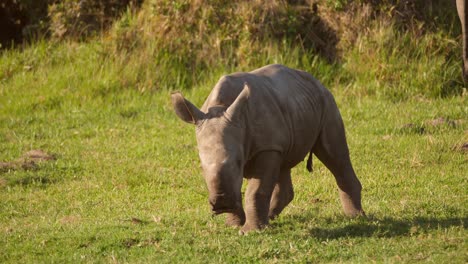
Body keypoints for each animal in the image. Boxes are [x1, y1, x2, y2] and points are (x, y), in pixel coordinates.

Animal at [173, 65, 366, 234]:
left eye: (239, 162)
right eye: (201, 166)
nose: (221, 203)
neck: (221, 106)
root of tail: (316, 80)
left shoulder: (267, 147)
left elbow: (256, 191)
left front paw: (249, 232)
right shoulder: (265, 145)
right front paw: (233, 225)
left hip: (326, 102)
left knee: (334, 154)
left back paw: (356, 217)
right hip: (293, 109)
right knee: (283, 165)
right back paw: (270, 217)